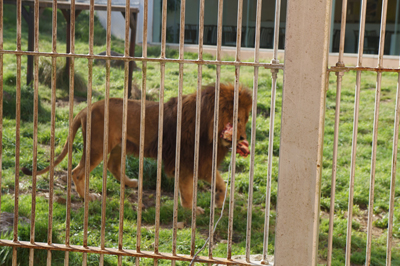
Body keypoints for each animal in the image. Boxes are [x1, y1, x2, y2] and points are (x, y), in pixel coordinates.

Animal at [21, 84, 250, 213]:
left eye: (245, 120)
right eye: (237, 120)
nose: (242, 138)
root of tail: (87, 108)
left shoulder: (200, 161)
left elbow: (221, 182)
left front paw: (218, 201)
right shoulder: (186, 160)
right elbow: (187, 190)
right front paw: (193, 210)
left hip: (118, 145)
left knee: (112, 167)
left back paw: (131, 183)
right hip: (98, 145)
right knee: (77, 171)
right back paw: (87, 197)